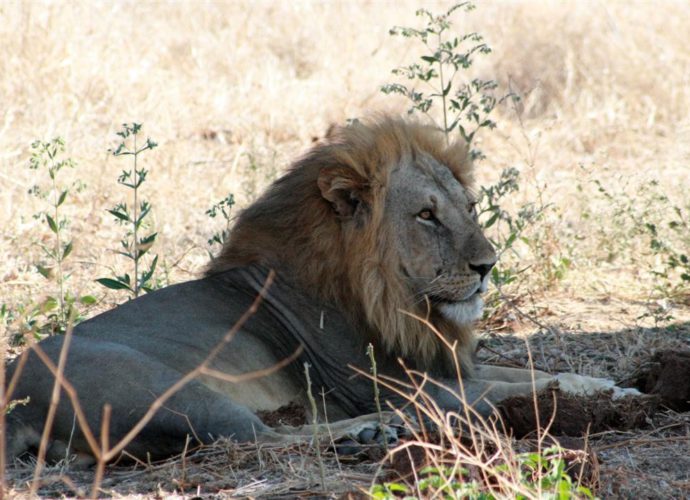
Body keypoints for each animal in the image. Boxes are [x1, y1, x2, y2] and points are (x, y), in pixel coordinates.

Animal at [5, 116, 638, 464]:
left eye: (469, 208)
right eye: (426, 215)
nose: (488, 265)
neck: (387, 299)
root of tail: (14, 401)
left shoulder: (439, 365)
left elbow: (528, 370)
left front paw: (610, 386)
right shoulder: (394, 383)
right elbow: (517, 387)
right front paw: (605, 396)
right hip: (169, 389)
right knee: (252, 439)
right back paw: (375, 429)